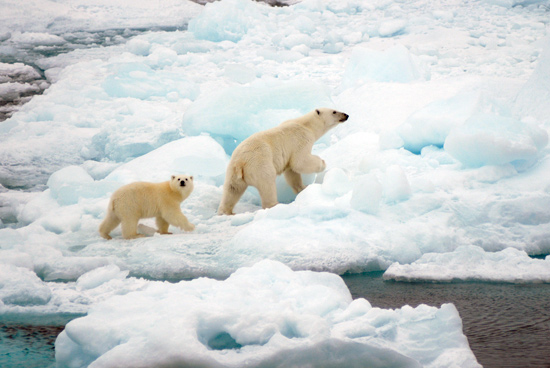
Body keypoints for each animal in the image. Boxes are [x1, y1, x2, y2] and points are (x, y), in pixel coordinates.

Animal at [219, 107, 350, 216]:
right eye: (334, 111)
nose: (346, 115)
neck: (306, 125)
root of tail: (240, 162)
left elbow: (292, 171)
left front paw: (303, 187)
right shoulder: (301, 139)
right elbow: (299, 162)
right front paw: (322, 163)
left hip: (233, 172)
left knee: (232, 190)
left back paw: (226, 211)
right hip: (260, 164)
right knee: (267, 184)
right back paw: (274, 205)